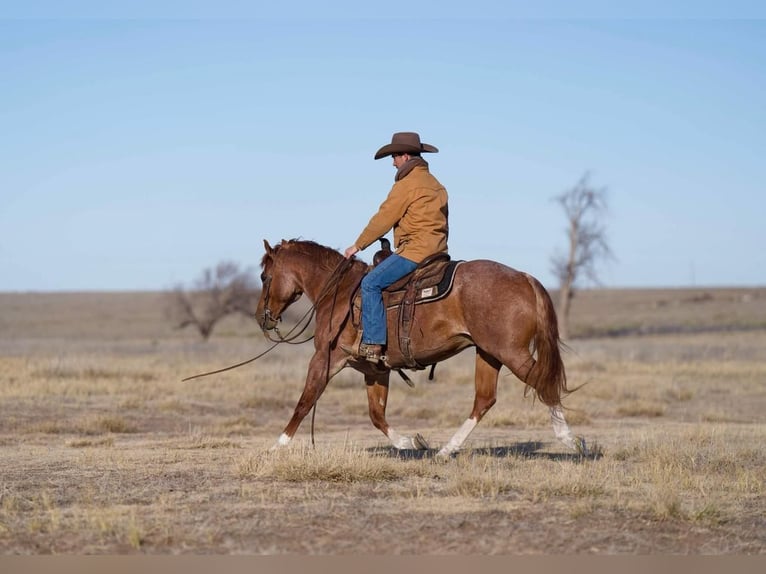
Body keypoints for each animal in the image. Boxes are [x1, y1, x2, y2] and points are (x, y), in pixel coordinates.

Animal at [255, 238, 584, 460]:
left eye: (263, 276)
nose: (261, 317)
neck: (339, 293)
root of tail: (525, 278)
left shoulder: (325, 358)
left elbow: (305, 401)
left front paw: (276, 446)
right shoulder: (375, 369)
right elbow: (376, 414)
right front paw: (411, 442)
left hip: (511, 353)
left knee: (543, 383)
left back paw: (571, 440)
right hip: (488, 353)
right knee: (484, 399)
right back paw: (446, 450)